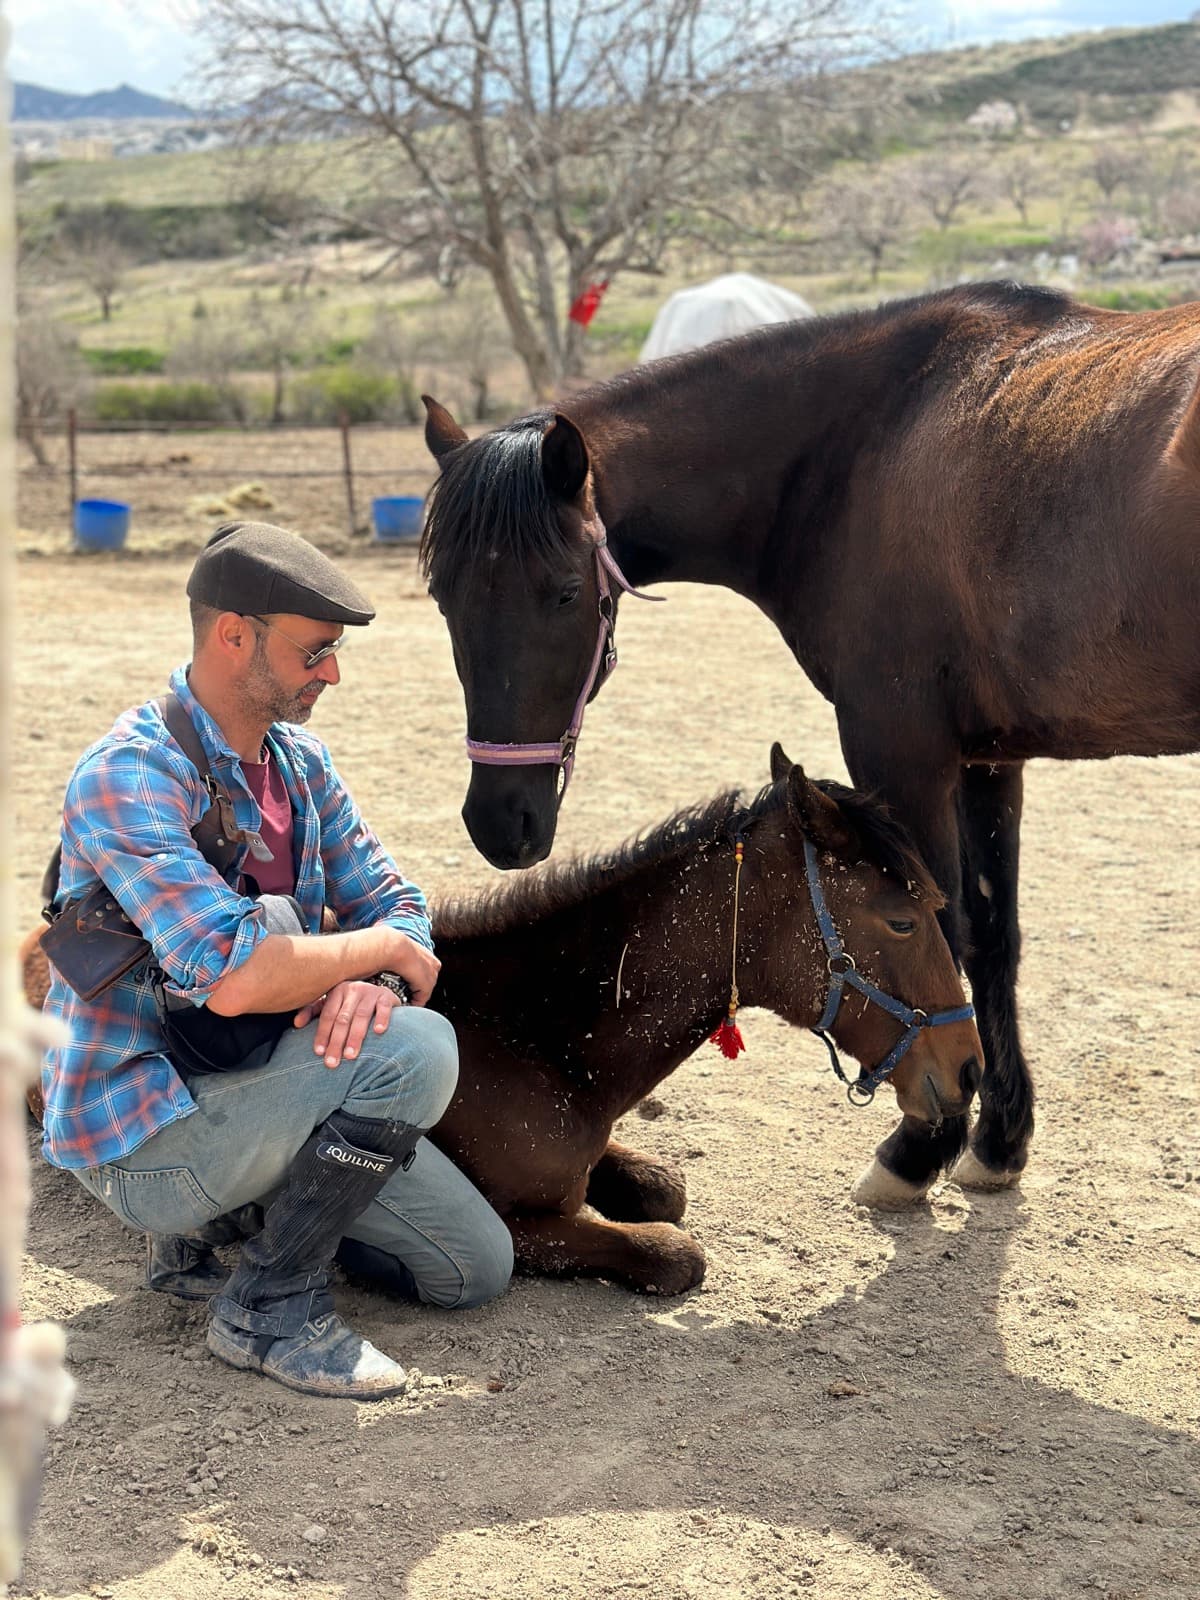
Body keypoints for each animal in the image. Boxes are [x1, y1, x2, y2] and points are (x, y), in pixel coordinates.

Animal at [23, 752, 982, 1288]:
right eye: (900, 920)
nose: (969, 1070)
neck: (539, 1043)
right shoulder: (524, 1226)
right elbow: (672, 1251)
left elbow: (664, 1186)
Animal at [419, 279, 1200, 1204]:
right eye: (441, 596)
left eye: (567, 593)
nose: (500, 822)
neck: (867, 442)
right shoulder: (986, 758)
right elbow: (991, 939)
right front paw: (997, 1141)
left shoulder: (902, 749)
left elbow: (944, 921)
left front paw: (921, 1147)